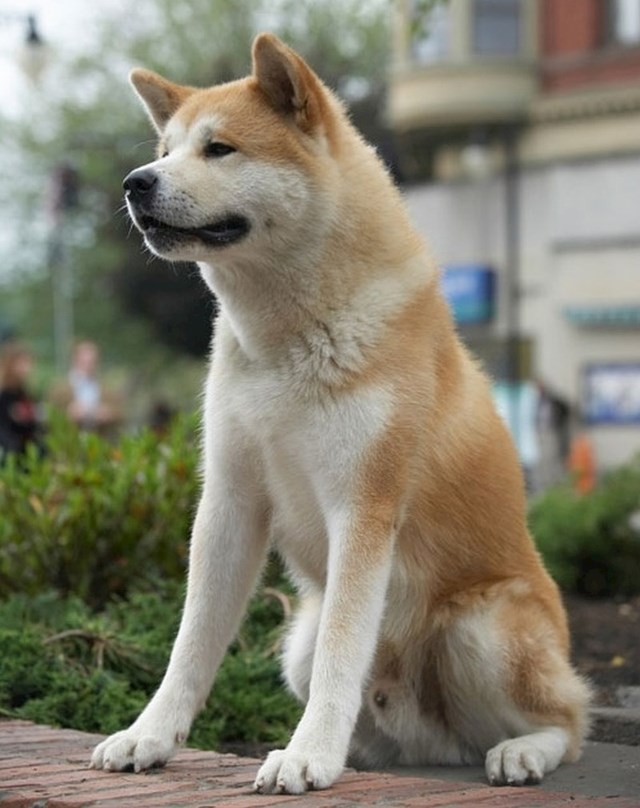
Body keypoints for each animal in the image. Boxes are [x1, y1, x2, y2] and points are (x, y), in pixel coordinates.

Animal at [90, 34, 592, 792]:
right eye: (167, 148)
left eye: (219, 149)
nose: (135, 182)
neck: (287, 340)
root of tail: (435, 745)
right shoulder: (230, 502)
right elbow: (191, 645)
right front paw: (148, 736)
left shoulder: (363, 507)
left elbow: (341, 651)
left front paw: (308, 756)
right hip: (296, 639)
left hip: (480, 627)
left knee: (569, 722)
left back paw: (521, 751)